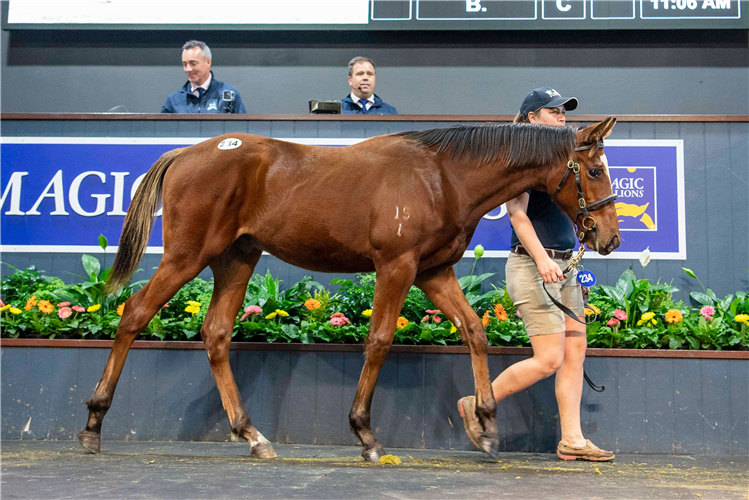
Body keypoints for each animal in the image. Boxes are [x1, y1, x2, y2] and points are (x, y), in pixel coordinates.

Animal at [79, 117, 620, 460]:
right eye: (594, 170)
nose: (609, 239)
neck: (442, 177)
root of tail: (185, 153)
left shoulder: (434, 272)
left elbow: (474, 331)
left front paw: (485, 423)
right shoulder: (396, 267)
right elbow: (379, 340)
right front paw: (365, 434)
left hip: (236, 258)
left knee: (214, 334)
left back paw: (253, 435)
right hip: (186, 257)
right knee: (133, 314)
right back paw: (93, 425)